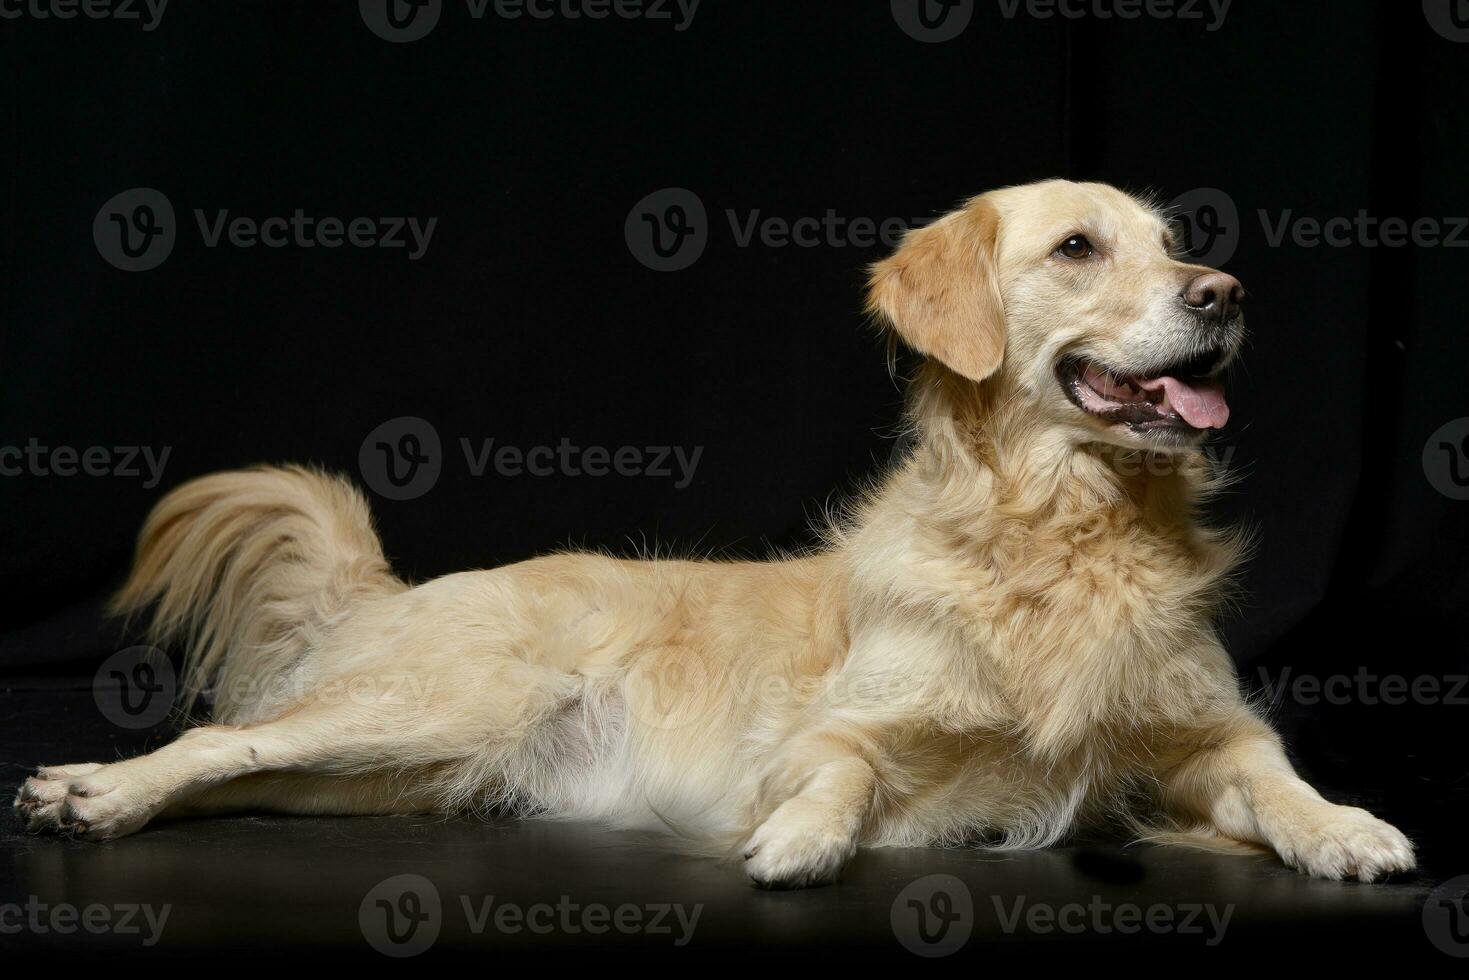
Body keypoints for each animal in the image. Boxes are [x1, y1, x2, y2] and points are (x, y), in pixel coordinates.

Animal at [8, 176, 1410, 887]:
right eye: (1077, 247)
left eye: (1178, 244)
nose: (1225, 292)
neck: (1059, 534)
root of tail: (392, 585)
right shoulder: (839, 727)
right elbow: (836, 771)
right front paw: (798, 837)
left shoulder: (1209, 733)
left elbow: (1276, 779)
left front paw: (1344, 826)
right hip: (435, 702)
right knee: (217, 736)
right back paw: (92, 789)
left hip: (397, 768)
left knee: (250, 766)